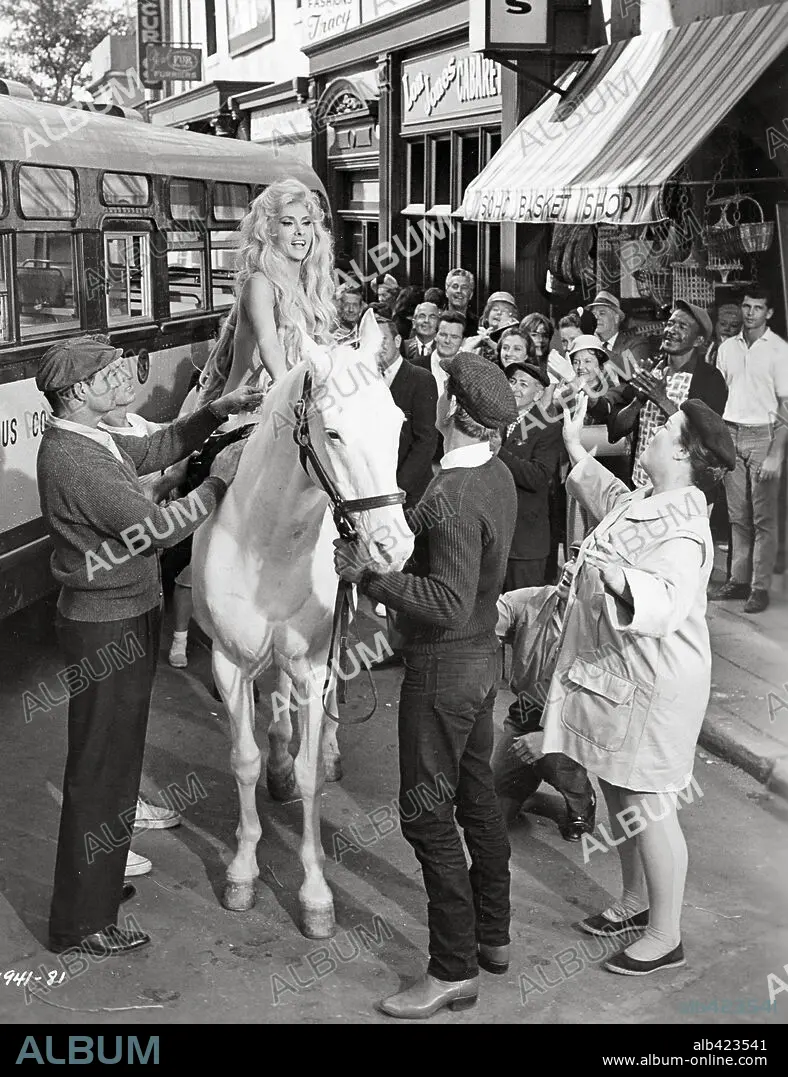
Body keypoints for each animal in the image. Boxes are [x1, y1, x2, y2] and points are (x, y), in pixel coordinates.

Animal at [192, 310, 413, 934]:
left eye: (398, 423)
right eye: (333, 433)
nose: (393, 546)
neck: (269, 541)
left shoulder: (314, 663)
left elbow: (313, 775)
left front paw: (316, 895)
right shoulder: (228, 662)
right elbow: (243, 760)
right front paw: (242, 871)